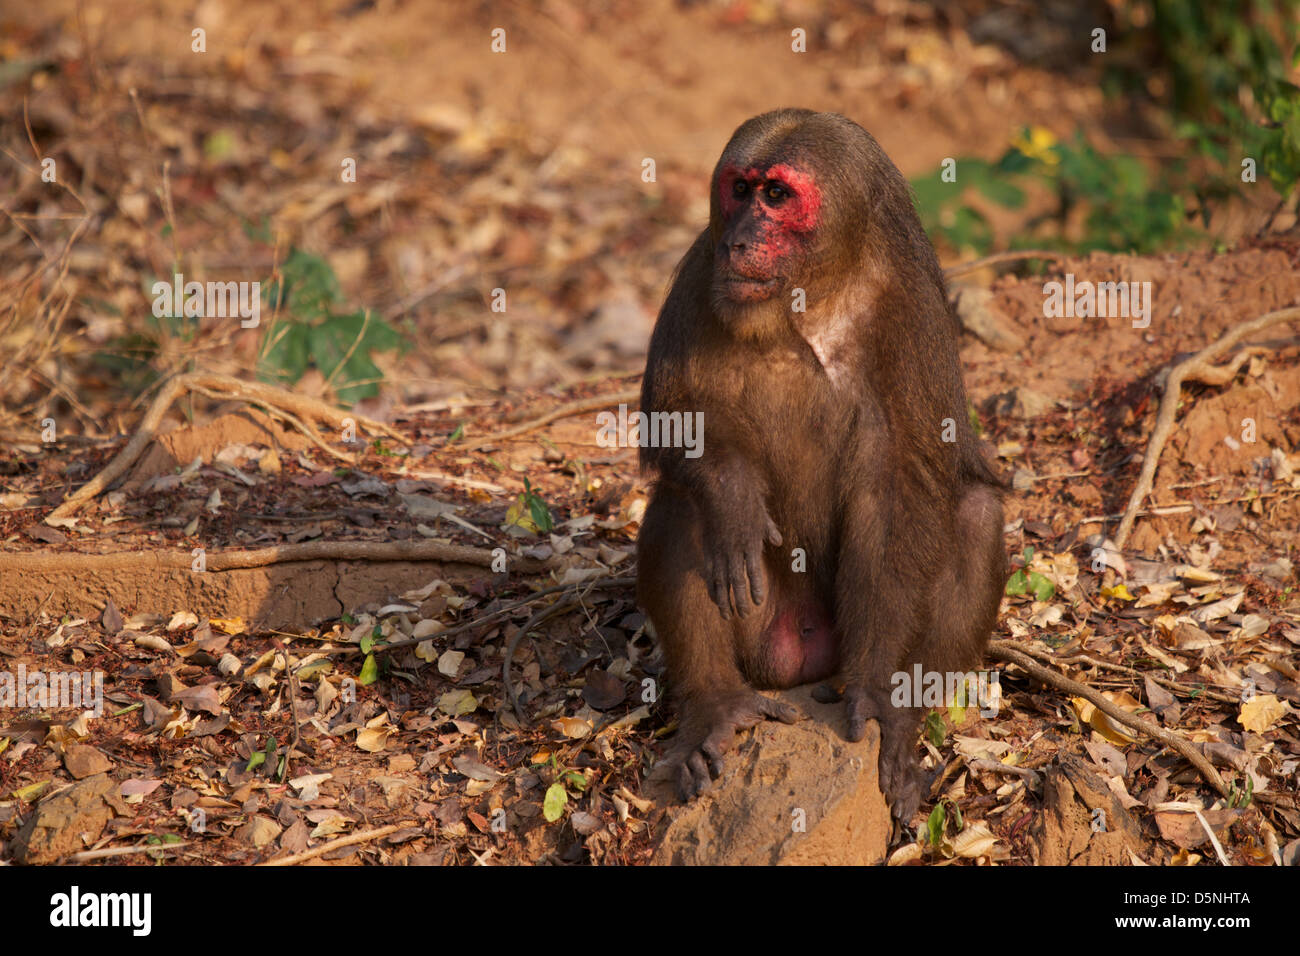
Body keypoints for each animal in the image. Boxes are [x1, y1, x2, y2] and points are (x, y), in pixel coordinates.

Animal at [636, 109, 1007, 828]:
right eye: (739, 189)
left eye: (778, 196)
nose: (742, 239)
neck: (817, 291)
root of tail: (800, 652)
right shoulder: (700, 268)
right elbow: (674, 421)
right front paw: (734, 498)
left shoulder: (913, 310)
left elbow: (903, 481)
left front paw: (879, 696)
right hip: (762, 633)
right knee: (683, 507)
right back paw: (716, 706)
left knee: (977, 514)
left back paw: (904, 713)